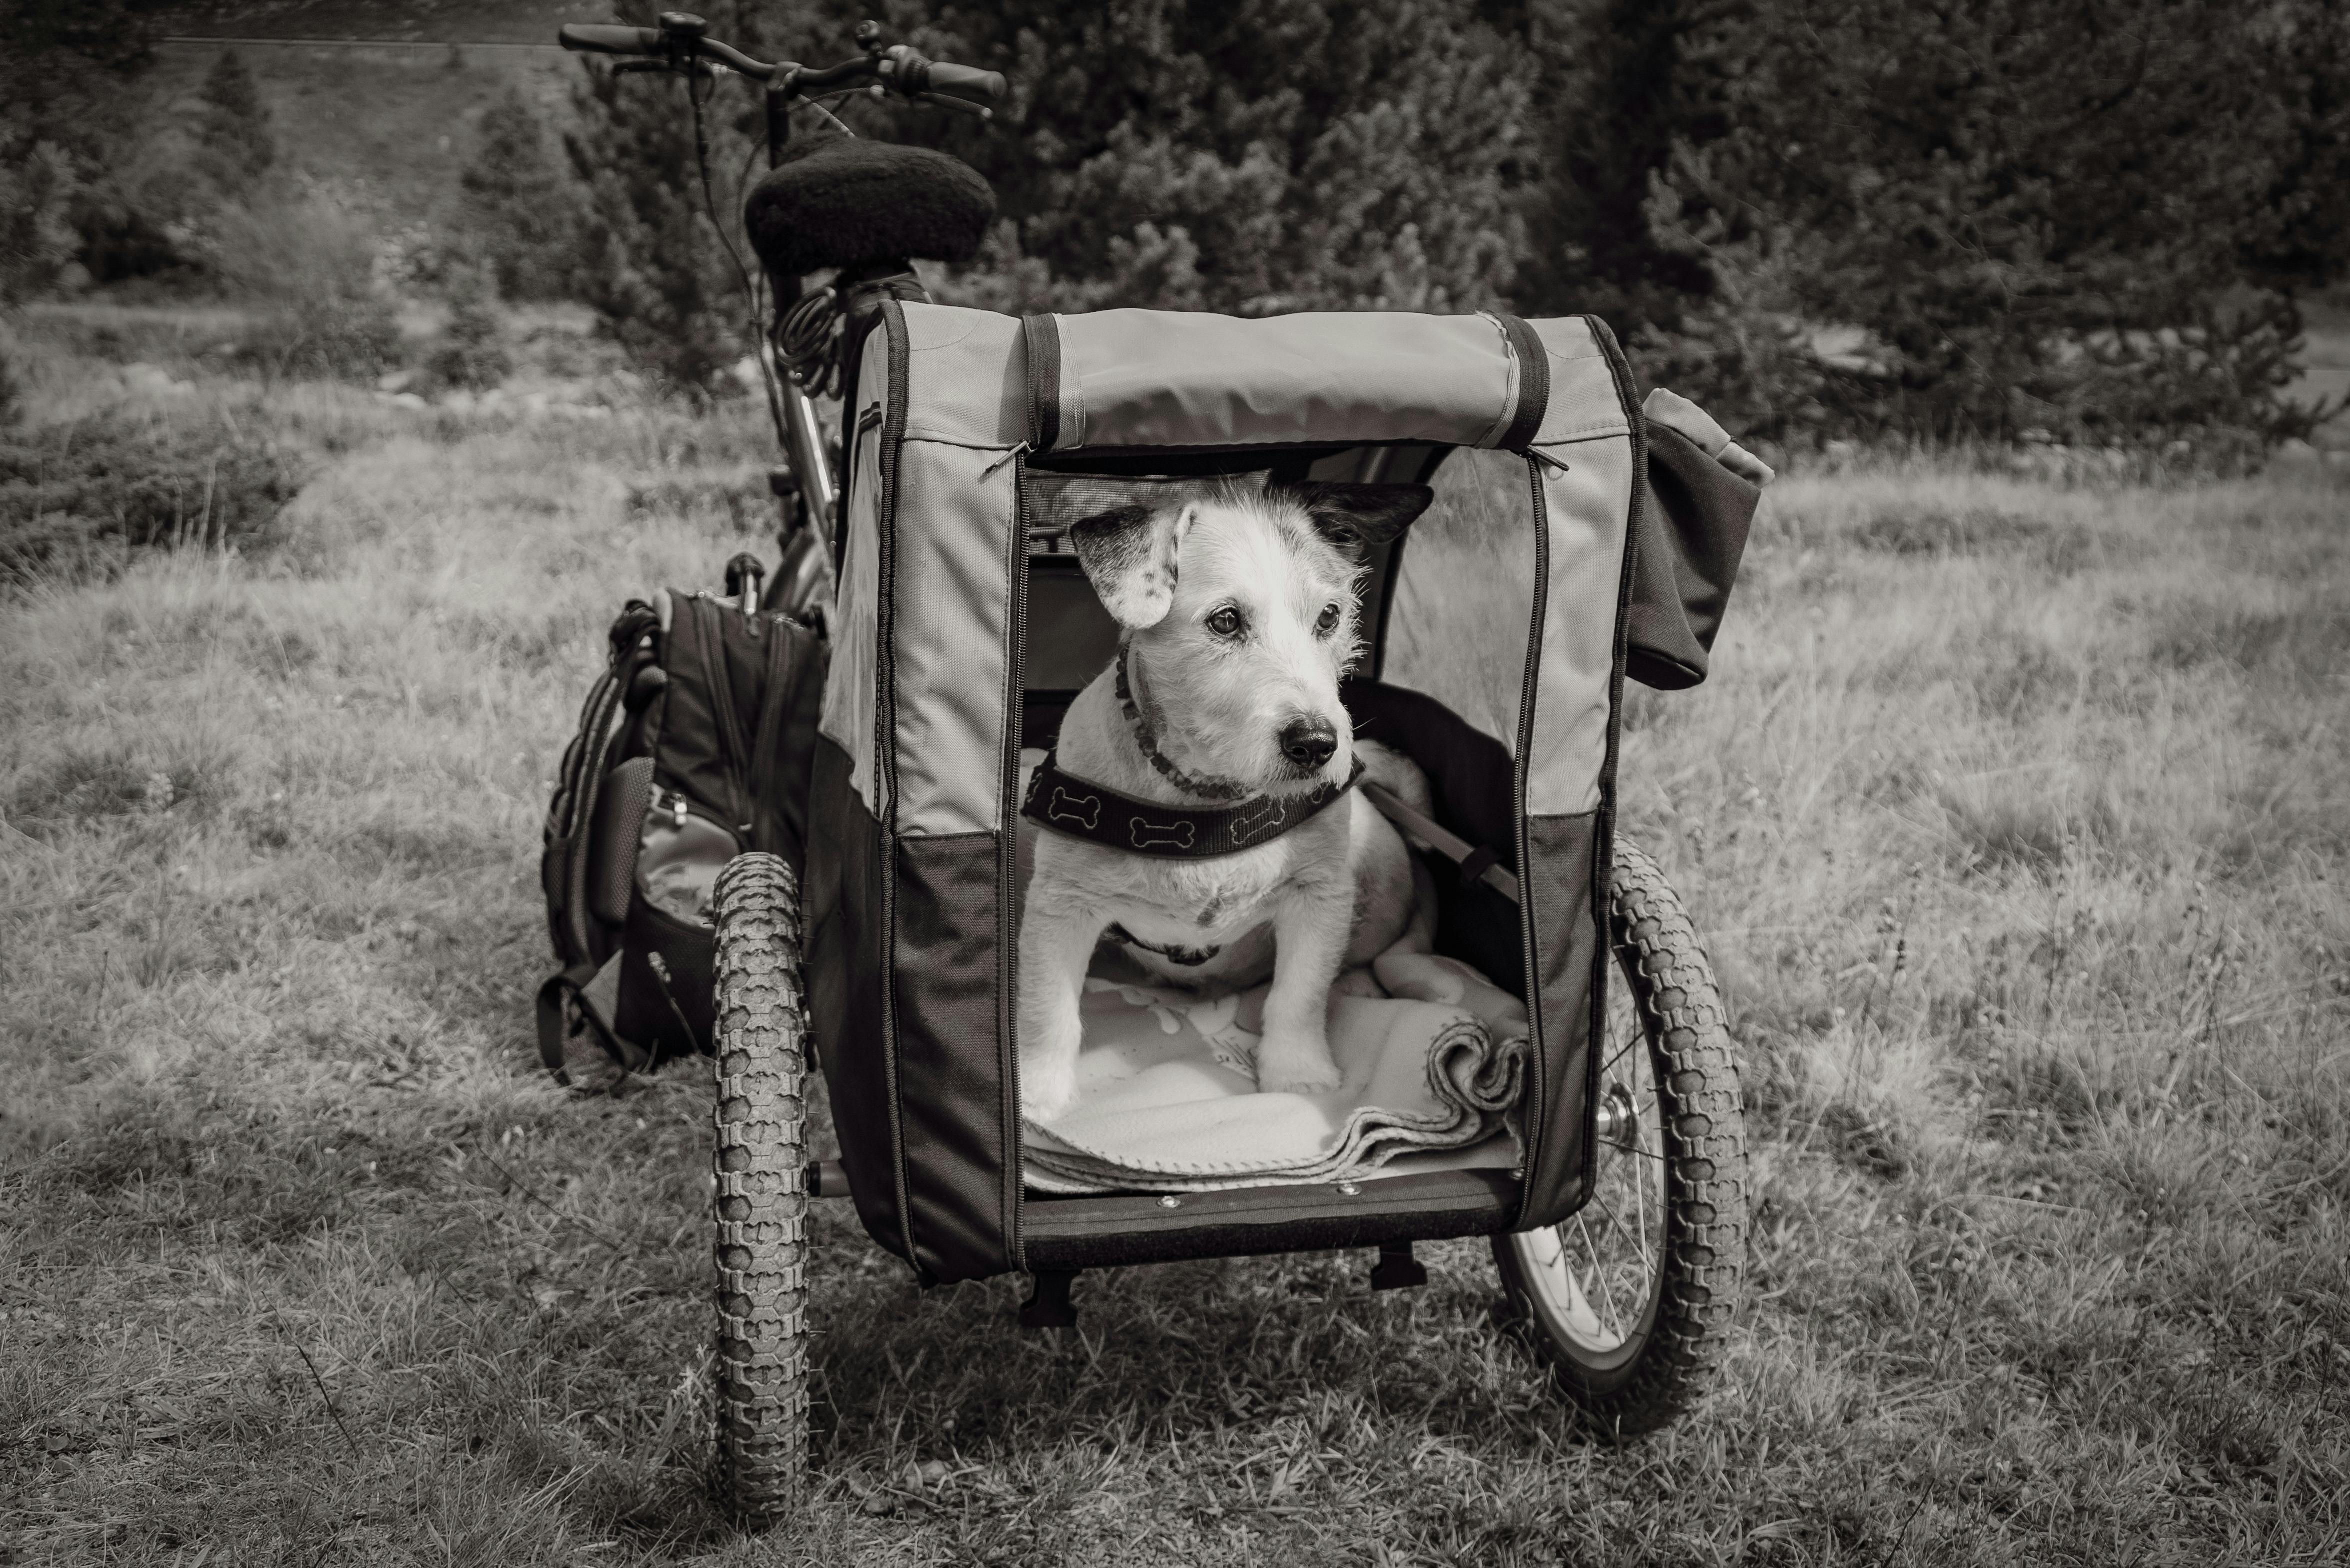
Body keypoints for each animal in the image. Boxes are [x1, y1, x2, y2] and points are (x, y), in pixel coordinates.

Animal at [1020, 472, 1438, 1124]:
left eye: (1330, 615)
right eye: (1224, 620)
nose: (1318, 743)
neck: (1207, 799)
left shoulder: (1318, 896)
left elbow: (1299, 993)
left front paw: (1298, 1074)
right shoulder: (1060, 904)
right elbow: (1048, 1008)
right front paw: (1039, 1094)